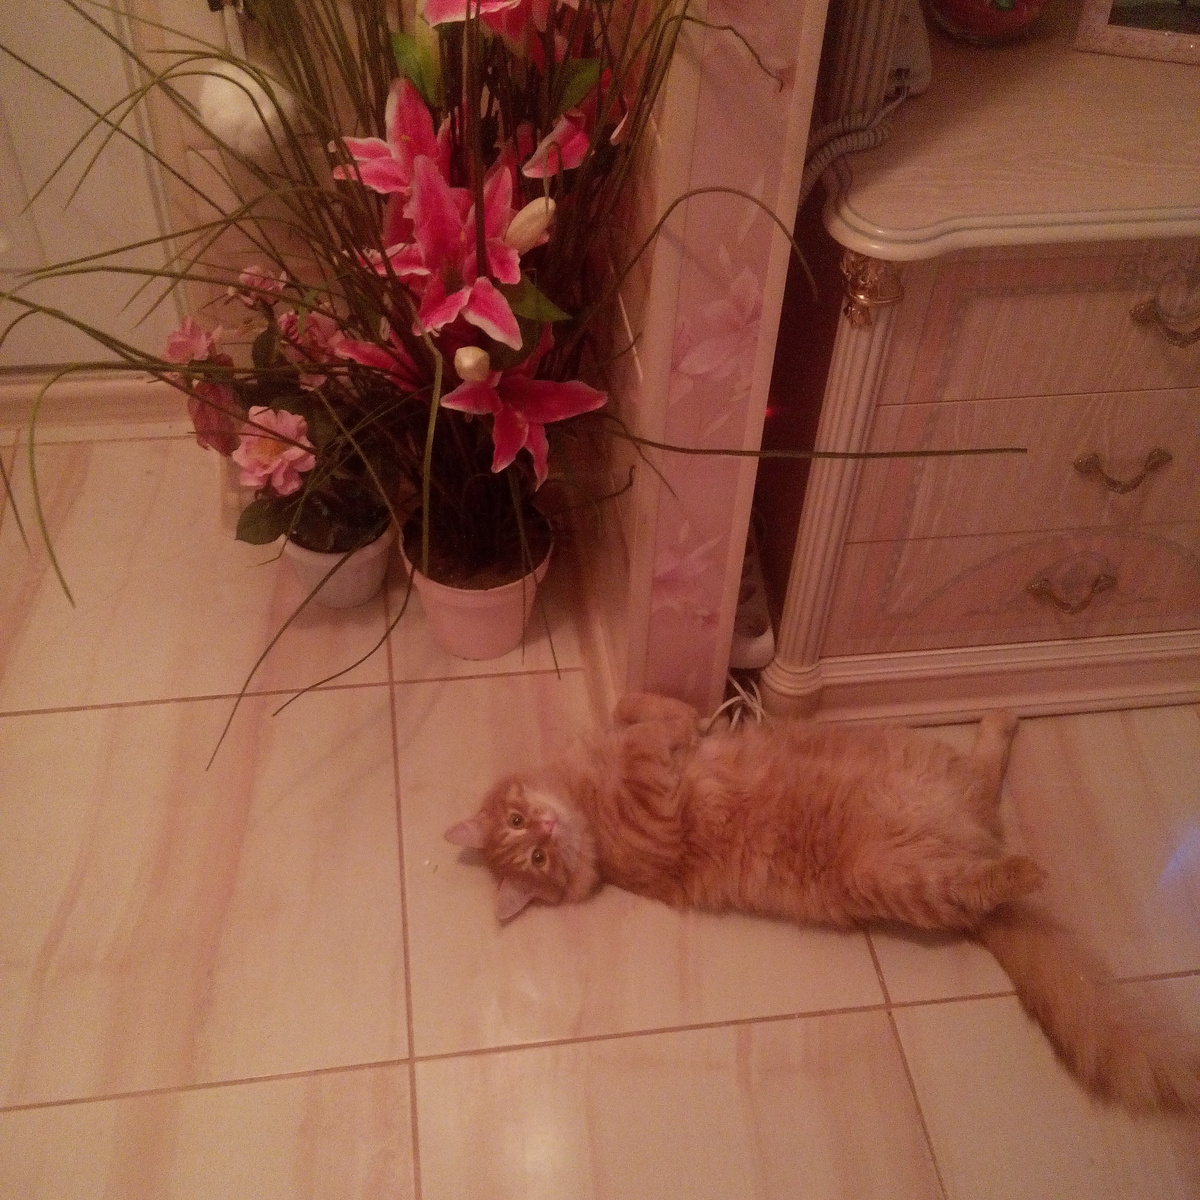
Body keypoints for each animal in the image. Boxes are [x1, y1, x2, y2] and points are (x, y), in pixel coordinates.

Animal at [446, 691, 1200, 1115]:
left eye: (520, 827)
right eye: (533, 858)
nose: (545, 833)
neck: (588, 809)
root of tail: (976, 841)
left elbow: (636, 706)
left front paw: (680, 717)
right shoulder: (653, 808)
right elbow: (647, 736)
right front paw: (675, 727)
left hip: (926, 765)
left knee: (984, 774)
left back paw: (998, 720)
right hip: (909, 877)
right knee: (981, 863)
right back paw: (1023, 863)